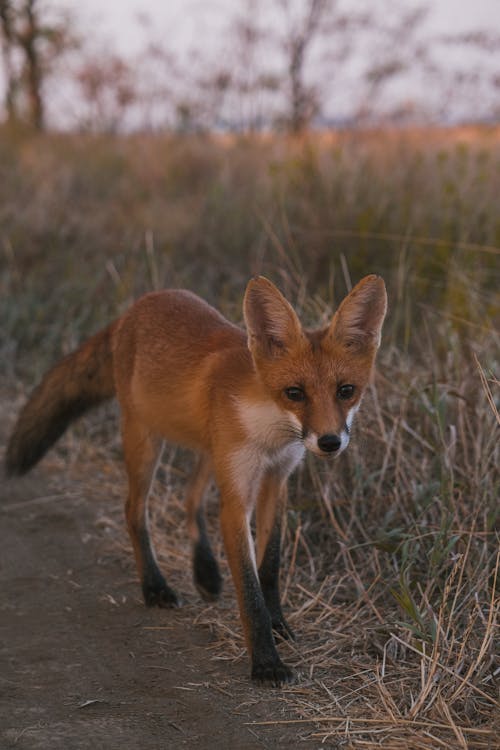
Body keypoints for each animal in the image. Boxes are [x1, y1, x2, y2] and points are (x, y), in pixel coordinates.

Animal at [4, 276, 386, 688]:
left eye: (346, 391)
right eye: (294, 393)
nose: (330, 442)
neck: (269, 430)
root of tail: (134, 308)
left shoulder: (276, 480)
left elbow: (269, 567)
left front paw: (278, 625)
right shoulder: (237, 496)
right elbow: (250, 591)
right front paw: (266, 662)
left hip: (206, 449)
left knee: (190, 497)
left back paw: (204, 571)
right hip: (145, 441)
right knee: (133, 510)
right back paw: (155, 587)